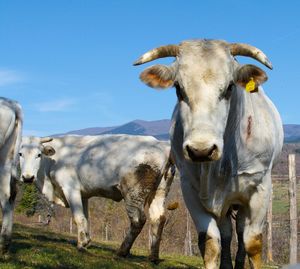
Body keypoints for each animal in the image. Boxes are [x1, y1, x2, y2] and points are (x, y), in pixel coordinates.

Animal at [18, 133, 175, 260]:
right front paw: (87, 241)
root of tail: (161, 144)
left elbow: (78, 218)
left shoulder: (71, 189)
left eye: (38, 154)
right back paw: (153, 256)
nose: (27, 177)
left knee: (138, 220)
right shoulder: (83, 195)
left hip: (134, 193)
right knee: (159, 218)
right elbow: (86, 218)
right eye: (20, 154)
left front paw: (81, 245)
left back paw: (122, 252)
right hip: (160, 191)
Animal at [134, 38, 284, 266]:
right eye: (178, 88)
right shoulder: (190, 189)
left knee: (241, 232)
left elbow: (252, 242)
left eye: (230, 87)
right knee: (228, 233)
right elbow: (211, 242)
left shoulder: (261, 188)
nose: (201, 150)